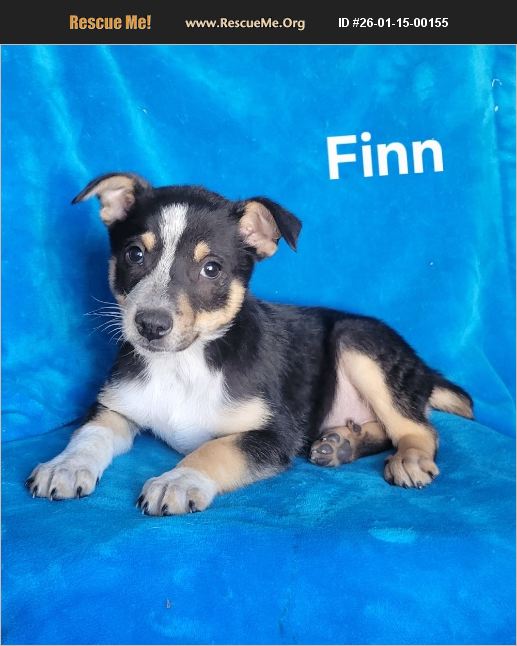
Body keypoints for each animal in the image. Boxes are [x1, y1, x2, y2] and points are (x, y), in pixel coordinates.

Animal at [26, 172, 474, 515]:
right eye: (134, 254)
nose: (150, 325)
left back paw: (408, 459)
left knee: (420, 430)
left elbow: (215, 450)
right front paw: (65, 466)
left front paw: (178, 480)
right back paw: (342, 444)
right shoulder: (114, 407)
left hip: (358, 341)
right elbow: (88, 436)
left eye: (211, 269)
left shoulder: (273, 436)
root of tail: (423, 368)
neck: (184, 365)